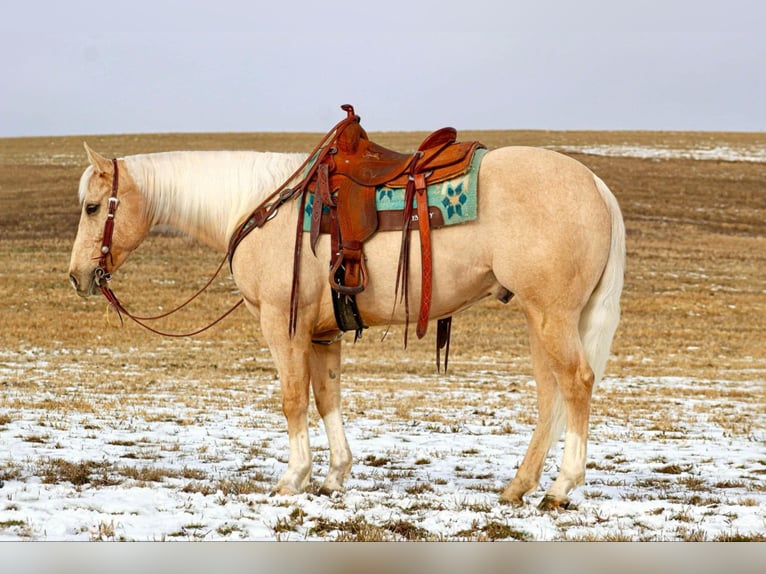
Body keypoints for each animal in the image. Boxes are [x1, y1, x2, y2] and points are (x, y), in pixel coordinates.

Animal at [69, 127, 628, 512]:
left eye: (94, 207)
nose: (78, 276)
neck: (260, 209)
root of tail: (597, 186)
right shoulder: (321, 334)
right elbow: (326, 398)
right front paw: (334, 476)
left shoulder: (284, 326)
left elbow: (293, 399)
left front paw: (292, 478)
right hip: (541, 317)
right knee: (550, 396)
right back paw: (518, 486)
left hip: (552, 315)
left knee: (576, 383)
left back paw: (561, 487)